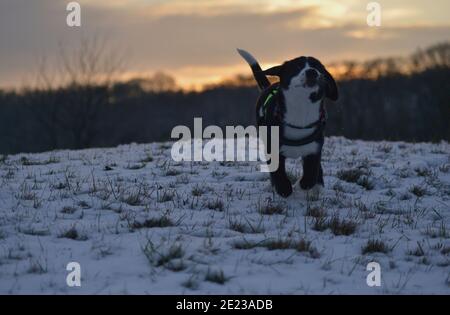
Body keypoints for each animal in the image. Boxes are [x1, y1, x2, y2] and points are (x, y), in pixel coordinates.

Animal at [239, 49, 338, 198]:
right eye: (297, 66)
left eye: (319, 68)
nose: (312, 72)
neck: (301, 112)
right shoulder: (273, 150)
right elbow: (278, 172)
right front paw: (284, 188)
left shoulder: (314, 150)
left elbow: (311, 173)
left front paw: (302, 185)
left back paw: (317, 187)